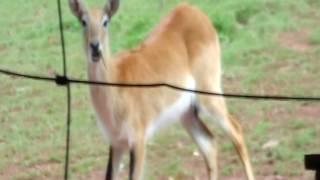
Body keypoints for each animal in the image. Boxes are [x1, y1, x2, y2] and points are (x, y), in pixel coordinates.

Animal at [69, 0, 254, 180]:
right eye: (83, 21)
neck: (116, 83)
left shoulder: (138, 140)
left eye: (105, 21)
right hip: (186, 113)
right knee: (209, 145)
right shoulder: (116, 143)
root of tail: (192, 10)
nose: (95, 47)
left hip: (209, 94)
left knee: (236, 130)